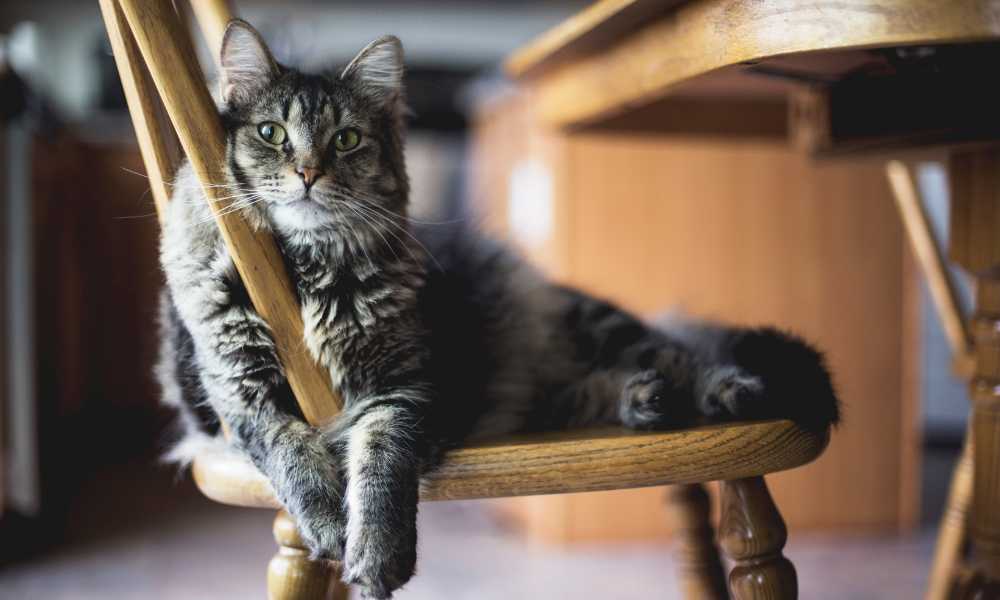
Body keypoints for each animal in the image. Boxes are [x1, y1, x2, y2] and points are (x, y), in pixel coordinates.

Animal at [158, 19, 844, 600]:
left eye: (346, 139)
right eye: (271, 133)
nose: (306, 173)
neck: (305, 271)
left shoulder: (403, 387)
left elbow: (380, 468)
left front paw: (376, 553)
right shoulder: (238, 392)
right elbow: (291, 454)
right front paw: (330, 525)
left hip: (601, 329)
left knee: (683, 354)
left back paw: (725, 391)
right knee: (597, 387)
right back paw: (644, 401)